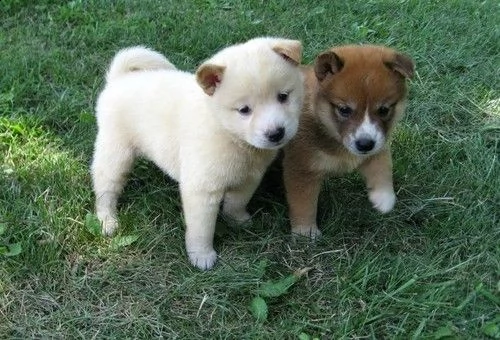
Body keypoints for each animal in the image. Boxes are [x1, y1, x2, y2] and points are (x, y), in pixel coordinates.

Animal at [91, 36, 304, 270]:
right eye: (244, 110)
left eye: (283, 96)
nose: (276, 133)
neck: (229, 135)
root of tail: (119, 79)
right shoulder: (202, 189)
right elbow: (202, 228)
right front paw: (202, 256)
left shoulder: (248, 179)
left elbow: (236, 203)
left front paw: (239, 221)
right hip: (116, 152)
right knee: (105, 189)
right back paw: (108, 220)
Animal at [284, 44, 416, 236]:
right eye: (344, 110)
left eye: (384, 110)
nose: (365, 144)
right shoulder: (301, 169)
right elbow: (304, 204)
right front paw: (306, 232)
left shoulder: (378, 146)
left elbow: (382, 167)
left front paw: (384, 198)